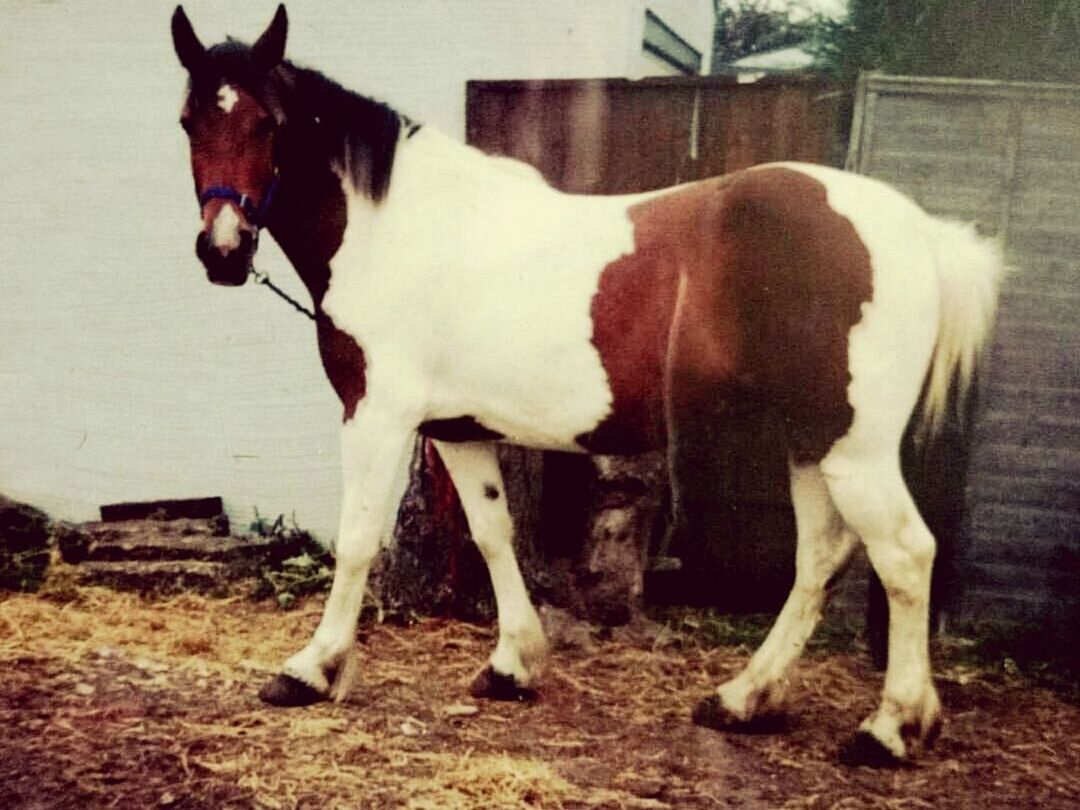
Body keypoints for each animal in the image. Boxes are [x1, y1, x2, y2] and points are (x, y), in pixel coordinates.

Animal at [170, 6, 1002, 768]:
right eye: (187, 120)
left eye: (270, 123)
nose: (221, 251)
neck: (395, 229)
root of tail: (919, 233)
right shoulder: (457, 430)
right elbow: (493, 534)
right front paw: (513, 665)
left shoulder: (377, 416)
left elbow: (355, 541)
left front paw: (311, 670)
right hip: (811, 445)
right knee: (821, 559)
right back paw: (744, 700)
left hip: (852, 449)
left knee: (904, 554)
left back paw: (891, 729)